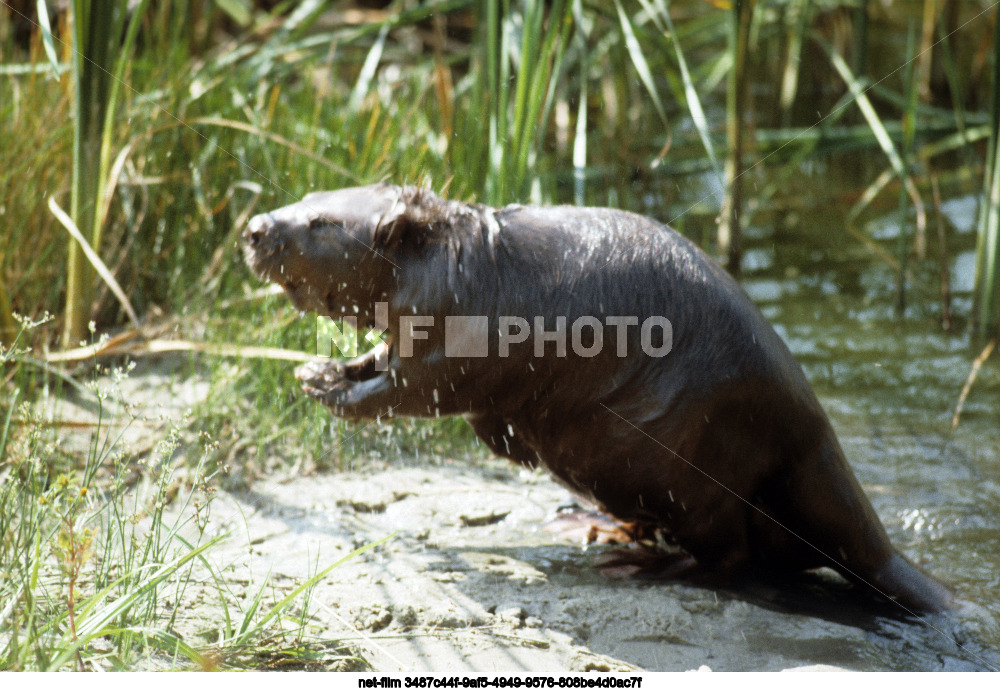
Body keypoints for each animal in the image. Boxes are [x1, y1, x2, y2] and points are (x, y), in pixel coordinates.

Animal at [242, 182, 952, 612]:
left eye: (321, 221)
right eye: (307, 196)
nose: (253, 228)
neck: (466, 262)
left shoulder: (473, 329)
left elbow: (421, 387)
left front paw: (322, 382)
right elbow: (384, 362)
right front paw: (324, 367)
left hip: (699, 462)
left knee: (731, 552)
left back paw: (640, 565)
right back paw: (591, 522)